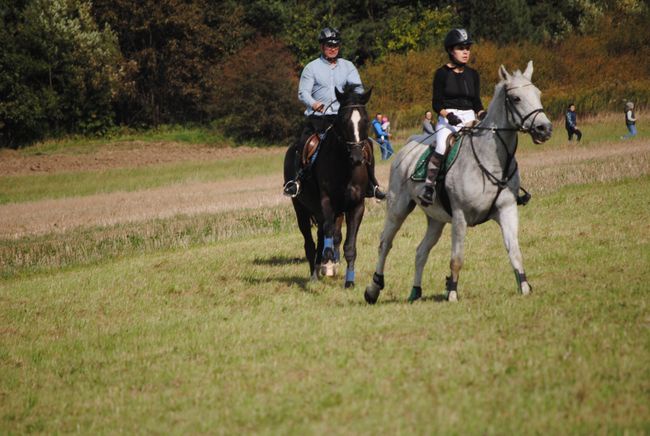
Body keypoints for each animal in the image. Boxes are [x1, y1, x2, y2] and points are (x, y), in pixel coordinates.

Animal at [282, 86, 372, 288]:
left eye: (365, 120)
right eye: (343, 121)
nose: (357, 158)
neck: (345, 167)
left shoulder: (356, 207)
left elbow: (349, 245)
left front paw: (349, 281)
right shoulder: (326, 203)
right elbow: (329, 233)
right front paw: (328, 265)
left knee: (324, 237)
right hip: (301, 209)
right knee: (310, 243)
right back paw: (315, 275)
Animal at [362, 63, 548, 304]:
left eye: (538, 94)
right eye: (516, 98)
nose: (545, 129)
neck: (490, 159)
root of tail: (407, 148)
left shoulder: (507, 209)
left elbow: (514, 251)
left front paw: (524, 287)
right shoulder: (460, 216)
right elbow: (456, 258)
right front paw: (452, 293)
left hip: (436, 219)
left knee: (421, 251)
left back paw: (415, 292)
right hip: (397, 209)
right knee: (385, 243)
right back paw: (373, 289)